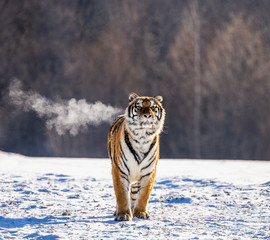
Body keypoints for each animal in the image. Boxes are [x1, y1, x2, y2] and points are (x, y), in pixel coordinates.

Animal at [107, 92, 165, 221]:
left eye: (153, 107)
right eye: (139, 107)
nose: (148, 115)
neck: (142, 137)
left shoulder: (149, 171)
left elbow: (144, 195)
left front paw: (140, 213)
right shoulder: (119, 170)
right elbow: (121, 195)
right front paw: (123, 214)